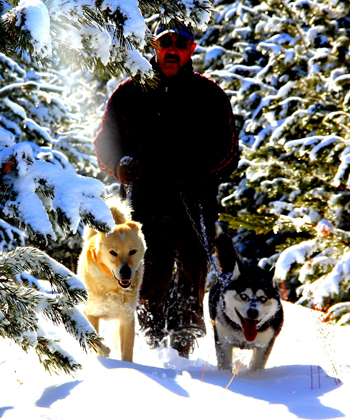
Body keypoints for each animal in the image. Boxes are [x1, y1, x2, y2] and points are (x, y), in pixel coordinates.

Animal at [78, 199, 146, 362]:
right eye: (113, 253)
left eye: (132, 251)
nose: (125, 273)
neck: (112, 288)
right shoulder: (91, 312)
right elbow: (95, 341)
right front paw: (104, 352)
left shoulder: (127, 319)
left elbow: (127, 350)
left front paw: (128, 365)